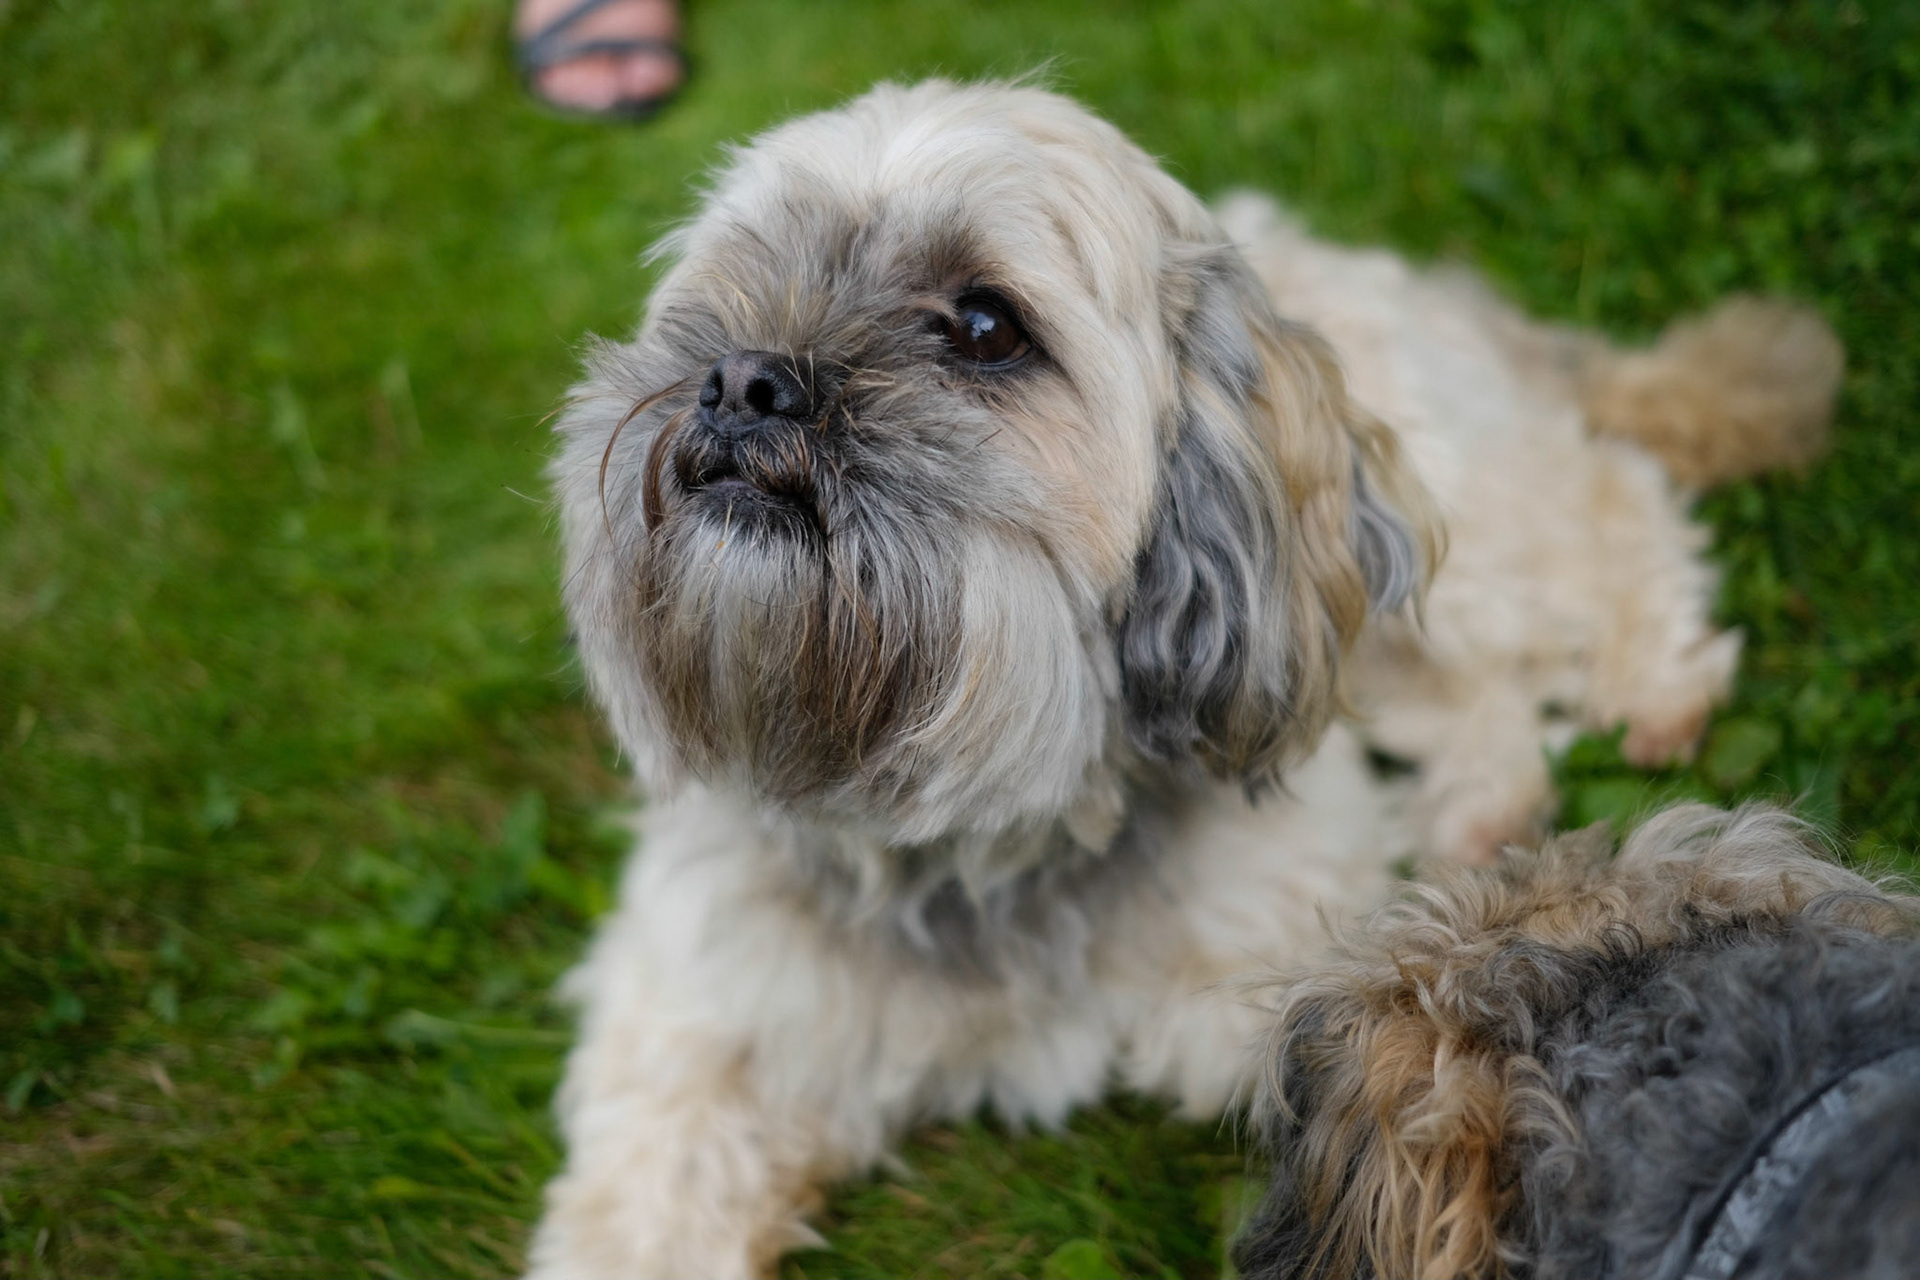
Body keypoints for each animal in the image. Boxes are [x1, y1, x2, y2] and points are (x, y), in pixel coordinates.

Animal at [533, 80, 1841, 1277]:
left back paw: (1656, 683)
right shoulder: (689, 1007)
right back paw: (1481, 810)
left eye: (986, 325)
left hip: (1446, 536)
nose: (741, 379)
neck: (980, 829)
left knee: (1611, 497)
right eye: (738, 281)